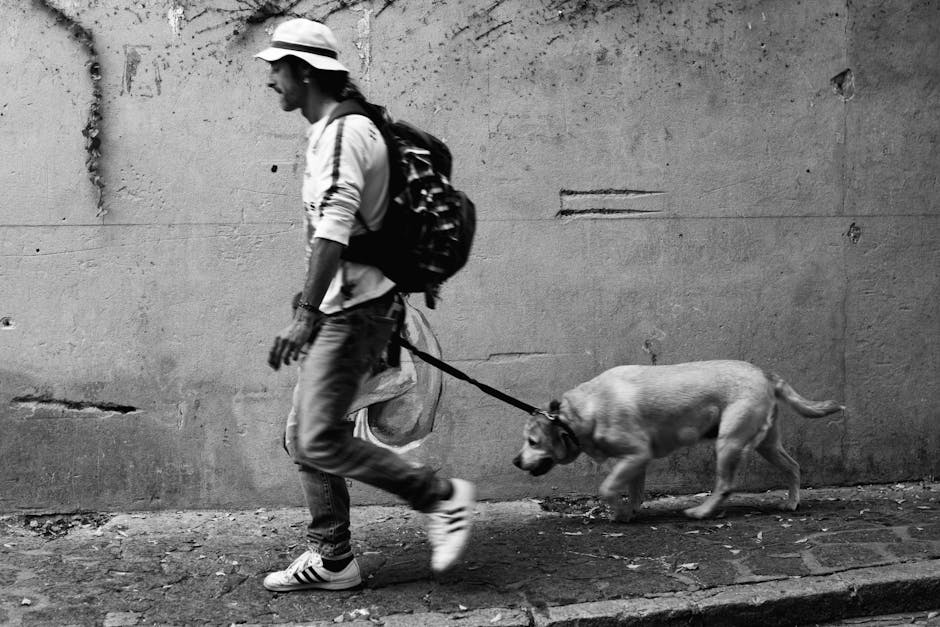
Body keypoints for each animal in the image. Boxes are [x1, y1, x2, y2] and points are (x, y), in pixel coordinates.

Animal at [516, 360, 844, 524]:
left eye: (532, 441)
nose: (515, 461)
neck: (577, 413)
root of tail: (765, 373)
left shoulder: (636, 455)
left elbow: (607, 488)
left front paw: (618, 513)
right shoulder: (636, 461)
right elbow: (635, 492)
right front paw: (630, 512)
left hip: (729, 441)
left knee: (725, 485)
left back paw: (702, 512)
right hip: (767, 444)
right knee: (793, 466)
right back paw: (792, 502)